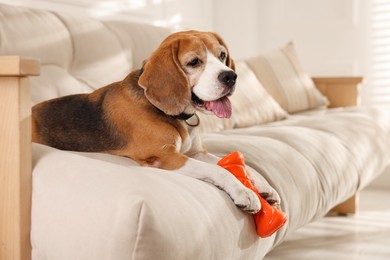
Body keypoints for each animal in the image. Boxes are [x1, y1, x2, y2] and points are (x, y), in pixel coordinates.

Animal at [32, 30, 278, 213]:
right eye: (194, 62)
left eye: (222, 56)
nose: (231, 77)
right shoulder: (165, 157)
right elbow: (220, 171)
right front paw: (244, 192)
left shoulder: (196, 153)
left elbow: (240, 166)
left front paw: (262, 185)